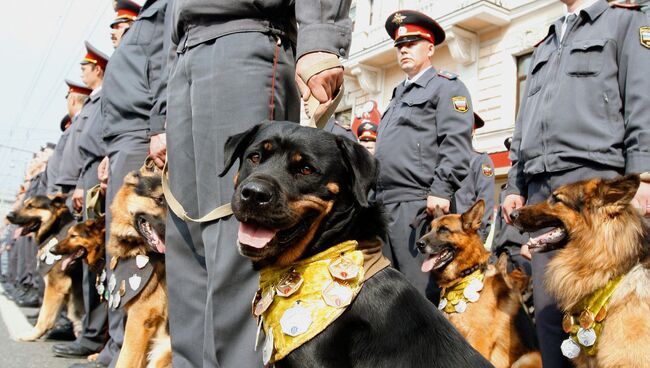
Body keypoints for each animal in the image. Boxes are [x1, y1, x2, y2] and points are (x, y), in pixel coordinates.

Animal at [4, 196, 83, 342]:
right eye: (25, 204)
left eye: (31, 206)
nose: (8, 216)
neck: (56, 229)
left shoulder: (55, 287)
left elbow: (44, 316)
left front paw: (33, 334)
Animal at [418, 200, 540, 366]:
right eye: (430, 228)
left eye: (444, 229)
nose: (419, 243)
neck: (465, 276)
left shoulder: (479, 340)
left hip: (526, 358)